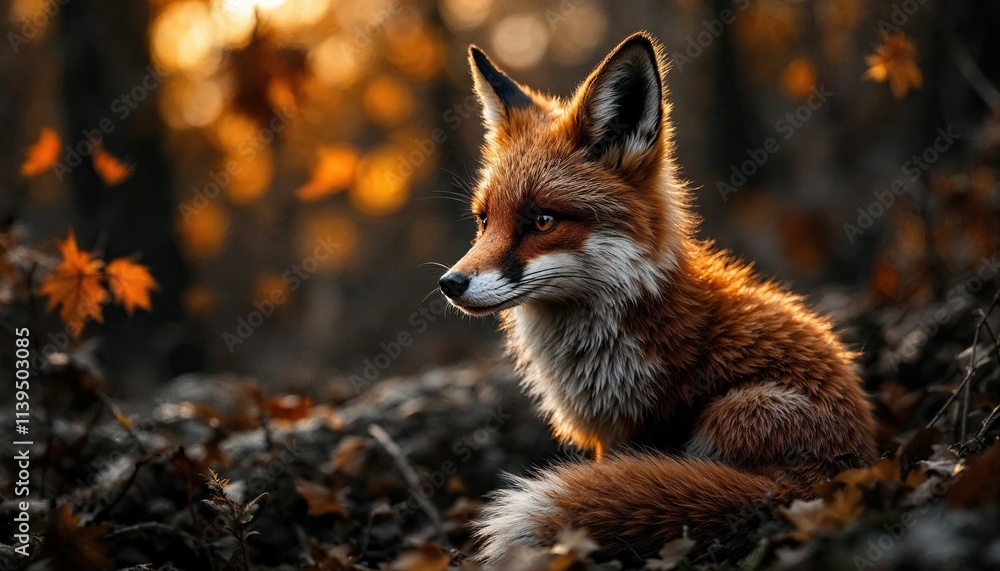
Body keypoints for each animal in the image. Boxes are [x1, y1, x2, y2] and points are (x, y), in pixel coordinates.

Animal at [438, 32, 878, 565]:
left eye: (542, 221)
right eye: (484, 221)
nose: (451, 283)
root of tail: (842, 475)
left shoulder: (644, 423)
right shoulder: (609, 435)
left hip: (739, 410)